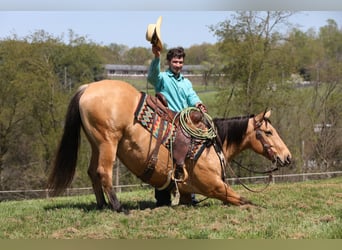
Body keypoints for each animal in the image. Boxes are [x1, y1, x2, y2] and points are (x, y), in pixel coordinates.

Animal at [47, 80, 292, 211]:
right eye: (269, 132)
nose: (287, 157)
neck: (211, 146)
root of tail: (88, 88)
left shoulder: (186, 193)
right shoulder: (214, 186)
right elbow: (245, 200)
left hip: (96, 143)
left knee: (91, 172)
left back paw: (102, 205)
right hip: (108, 141)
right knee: (102, 172)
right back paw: (118, 207)